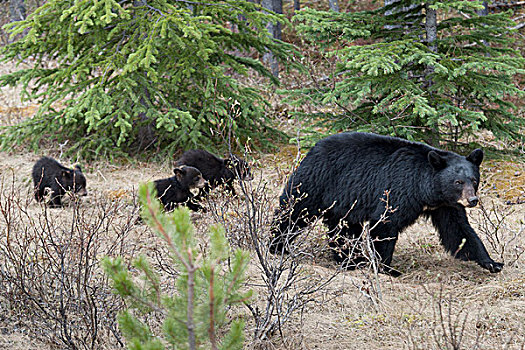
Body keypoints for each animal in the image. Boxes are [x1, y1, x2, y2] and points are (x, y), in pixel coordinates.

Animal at [270, 132, 504, 276]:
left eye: (474, 180)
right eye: (458, 182)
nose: (472, 200)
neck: (427, 191)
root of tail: (313, 148)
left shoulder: (446, 205)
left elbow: (459, 231)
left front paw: (492, 262)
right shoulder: (398, 190)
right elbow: (385, 225)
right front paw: (387, 269)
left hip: (345, 202)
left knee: (343, 230)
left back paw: (350, 261)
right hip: (316, 182)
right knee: (293, 211)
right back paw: (277, 246)